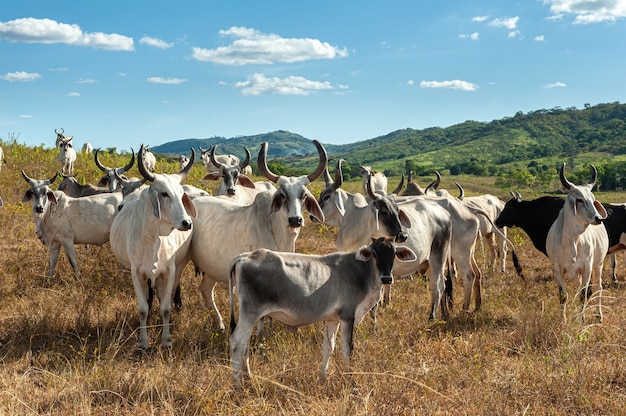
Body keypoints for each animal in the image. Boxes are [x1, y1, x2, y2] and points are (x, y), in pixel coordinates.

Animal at [108, 145, 195, 350]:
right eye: (164, 194)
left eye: (181, 195)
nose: (187, 222)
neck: (154, 239)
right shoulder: (137, 272)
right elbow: (143, 308)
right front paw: (143, 342)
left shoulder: (169, 271)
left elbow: (165, 308)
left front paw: (166, 341)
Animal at [228, 237, 414, 390]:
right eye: (374, 254)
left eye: (394, 254)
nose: (386, 278)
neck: (361, 272)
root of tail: (246, 256)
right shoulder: (347, 316)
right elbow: (347, 349)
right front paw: (351, 382)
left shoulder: (332, 320)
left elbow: (328, 348)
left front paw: (323, 379)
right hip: (250, 312)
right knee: (238, 343)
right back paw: (237, 386)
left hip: (252, 316)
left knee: (245, 346)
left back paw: (249, 378)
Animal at [544, 164, 608, 324]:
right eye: (579, 200)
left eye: (593, 199)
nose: (598, 218)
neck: (573, 240)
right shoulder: (558, 269)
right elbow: (563, 296)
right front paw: (563, 321)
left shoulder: (587, 267)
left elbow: (583, 294)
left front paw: (582, 319)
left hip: (598, 264)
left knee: (598, 288)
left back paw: (598, 315)